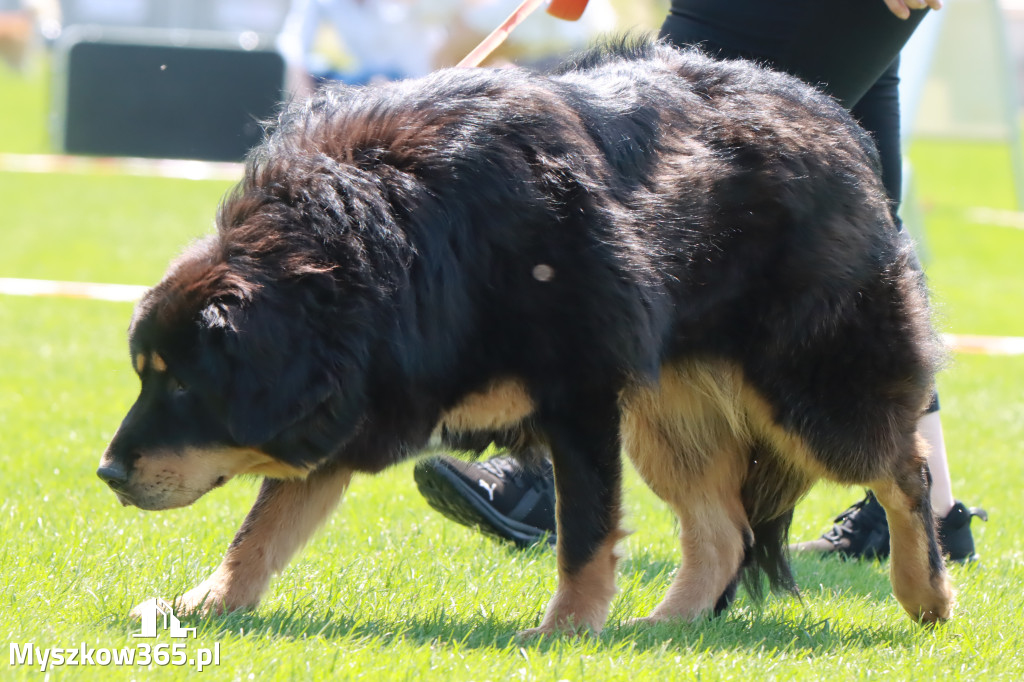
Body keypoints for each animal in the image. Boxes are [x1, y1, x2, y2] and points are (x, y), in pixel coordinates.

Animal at [97, 37, 950, 630]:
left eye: (184, 383)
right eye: (145, 375)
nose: (107, 472)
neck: (395, 241)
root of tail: (836, 119)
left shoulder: (580, 396)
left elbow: (585, 534)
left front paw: (565, 630)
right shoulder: (361, 393)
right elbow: (262, 527)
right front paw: (209, 602)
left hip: (806, 392)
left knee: (902, 464)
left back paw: (926, 592)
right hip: (671, 414)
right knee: (725, 532)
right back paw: (666, 627)